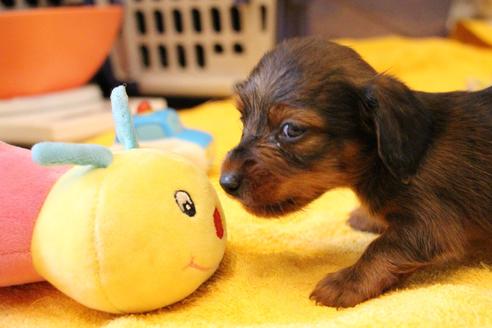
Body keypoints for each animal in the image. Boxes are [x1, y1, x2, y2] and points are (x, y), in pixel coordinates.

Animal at [221, 37, 492, 308]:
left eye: (292, 129)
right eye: (243, 119)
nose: (226, 183)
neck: (379, 163)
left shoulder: (431, 224)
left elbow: (381, 247)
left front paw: (346, 282)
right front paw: (367, 217)